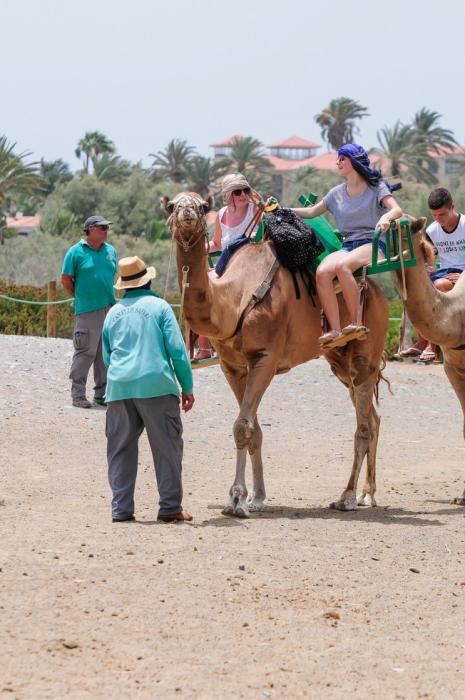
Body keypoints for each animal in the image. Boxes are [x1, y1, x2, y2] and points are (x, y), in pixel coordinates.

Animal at [169, 194, 390, 516]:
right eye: (171, 205)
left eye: (202, 207)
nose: (186, 211)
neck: (236, 300)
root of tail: (379, 293)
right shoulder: (232, 367)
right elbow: (254, 429)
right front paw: (256, 497)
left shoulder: (265, 358)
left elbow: (242, 426)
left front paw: (236, 500)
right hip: (338, 360)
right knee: (372, 418)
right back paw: (367, 494)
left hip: (366, 352)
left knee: (362, 425)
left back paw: (346, 497)